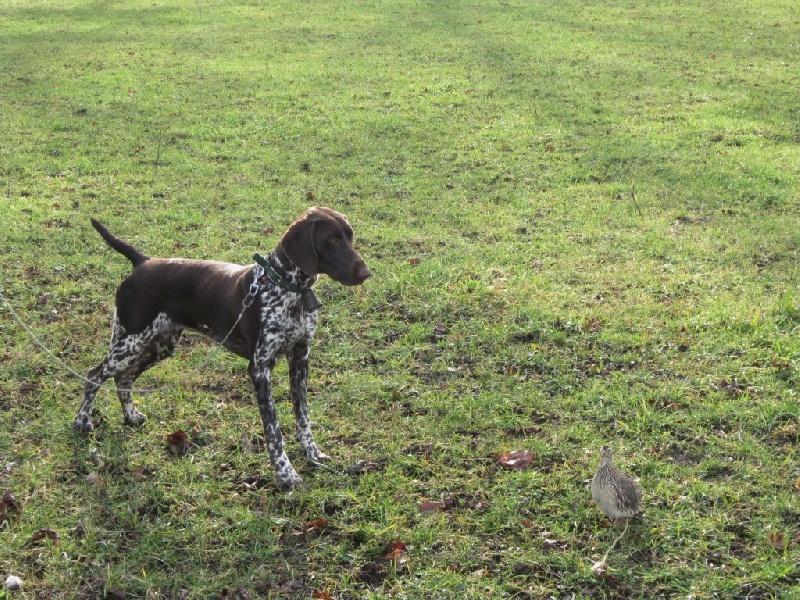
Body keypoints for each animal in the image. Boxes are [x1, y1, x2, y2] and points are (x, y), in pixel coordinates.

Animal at [75, 206, 372, 488]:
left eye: (350, 236)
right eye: (333, 239)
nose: (366, 273)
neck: (287, 290)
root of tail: (142, 262)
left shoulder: (300, 359)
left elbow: (303, 418)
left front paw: (312, 454)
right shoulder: (260, 369)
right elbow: (274, 431)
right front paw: (285, 475)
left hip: (159, 345)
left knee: (123, 377)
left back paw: (130, 416)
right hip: (128, 341)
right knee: (94, 375)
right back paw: (82, 423)